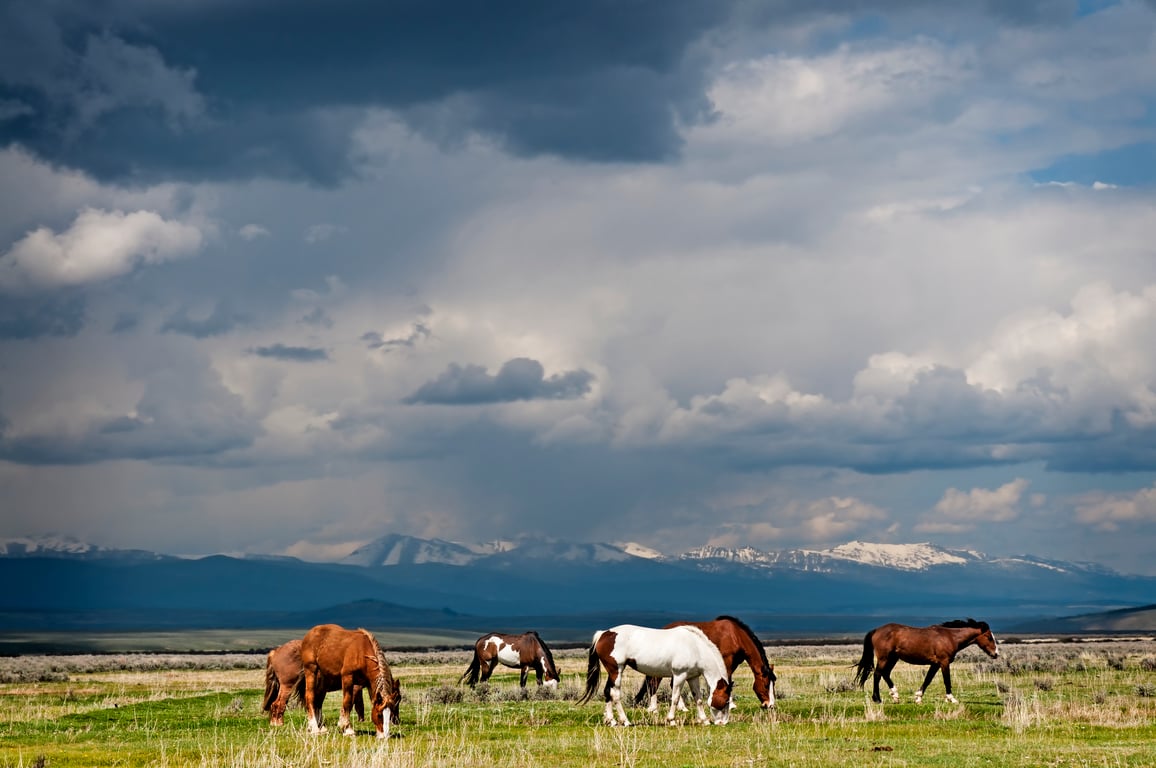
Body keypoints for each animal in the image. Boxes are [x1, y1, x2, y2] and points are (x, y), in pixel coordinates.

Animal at [578, 624, 733, 726]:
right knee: (615, 695)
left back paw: (612, 721)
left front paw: (704, 720)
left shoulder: (692, 677)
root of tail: (603, 633)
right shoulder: (679, 675)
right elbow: (675, 698)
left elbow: (698, 699)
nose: (723, 722)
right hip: (617, 671)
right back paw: (626, 721)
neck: (695, 647)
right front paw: (671, 720)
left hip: (612, 673)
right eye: (726, 700)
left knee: (607, 692)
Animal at [632, 615, 776, 711]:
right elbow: (727, 680)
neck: (735, 636)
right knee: (654, 683)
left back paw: (681, 708)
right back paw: (655, 708)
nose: (770, 705)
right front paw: (730, 704)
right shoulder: (727, 662)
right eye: (765, 685)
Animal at [854, 618, 1000, 704]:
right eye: (989, 637)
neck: (950, 637)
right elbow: (947, 680)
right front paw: (952, 699)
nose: (996, 654)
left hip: (893, 658)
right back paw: (877, 699)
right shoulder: (944, 662)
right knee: (877, 674)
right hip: (884, 658)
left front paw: (918, 697)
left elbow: (928, 679)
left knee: (885, 673)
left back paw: (895, 695)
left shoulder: (935, 664)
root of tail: (876, 630)